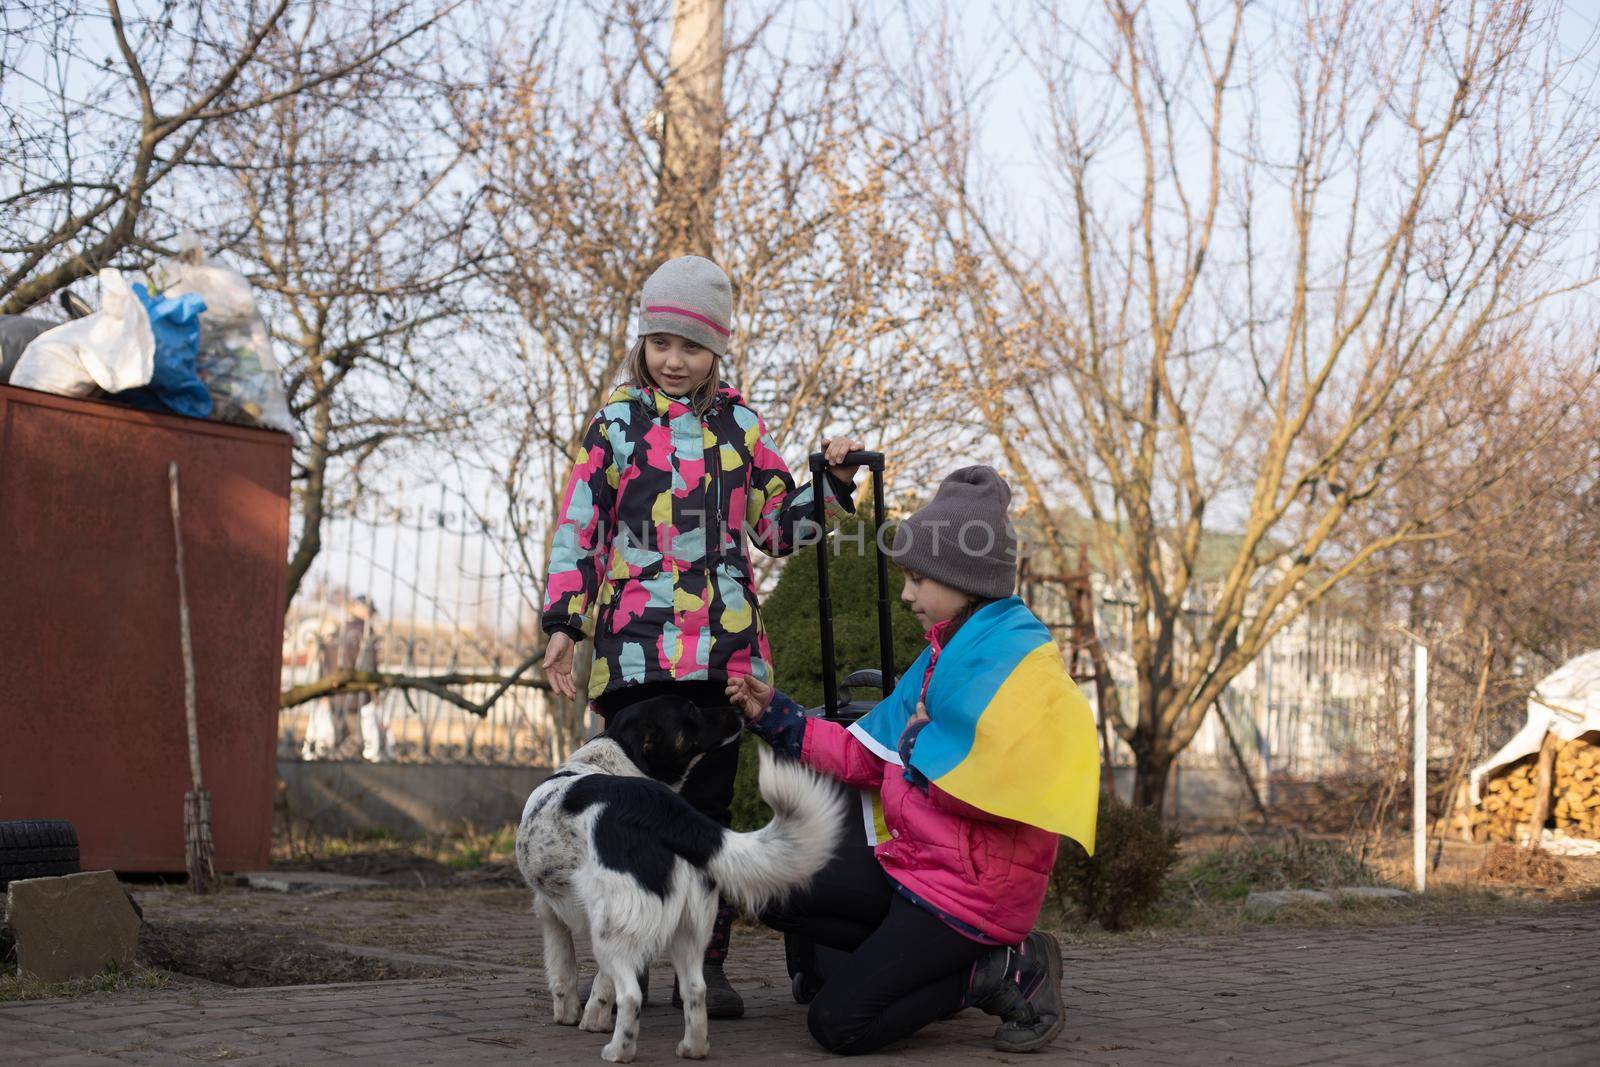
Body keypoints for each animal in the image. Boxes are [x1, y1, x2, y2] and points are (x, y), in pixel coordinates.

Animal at [521, 697, 851, 1062]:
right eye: (691, 710)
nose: (738, 707)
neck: (618, 759)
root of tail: (661, 811)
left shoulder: (549, 911)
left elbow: (564, 970)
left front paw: (571, 1015)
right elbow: (600, 983)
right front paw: (594, 1018)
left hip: (612, 931)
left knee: (632, 995)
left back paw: (619, 1051)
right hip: (686, 930)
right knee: (695, 989)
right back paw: (692, 1048)